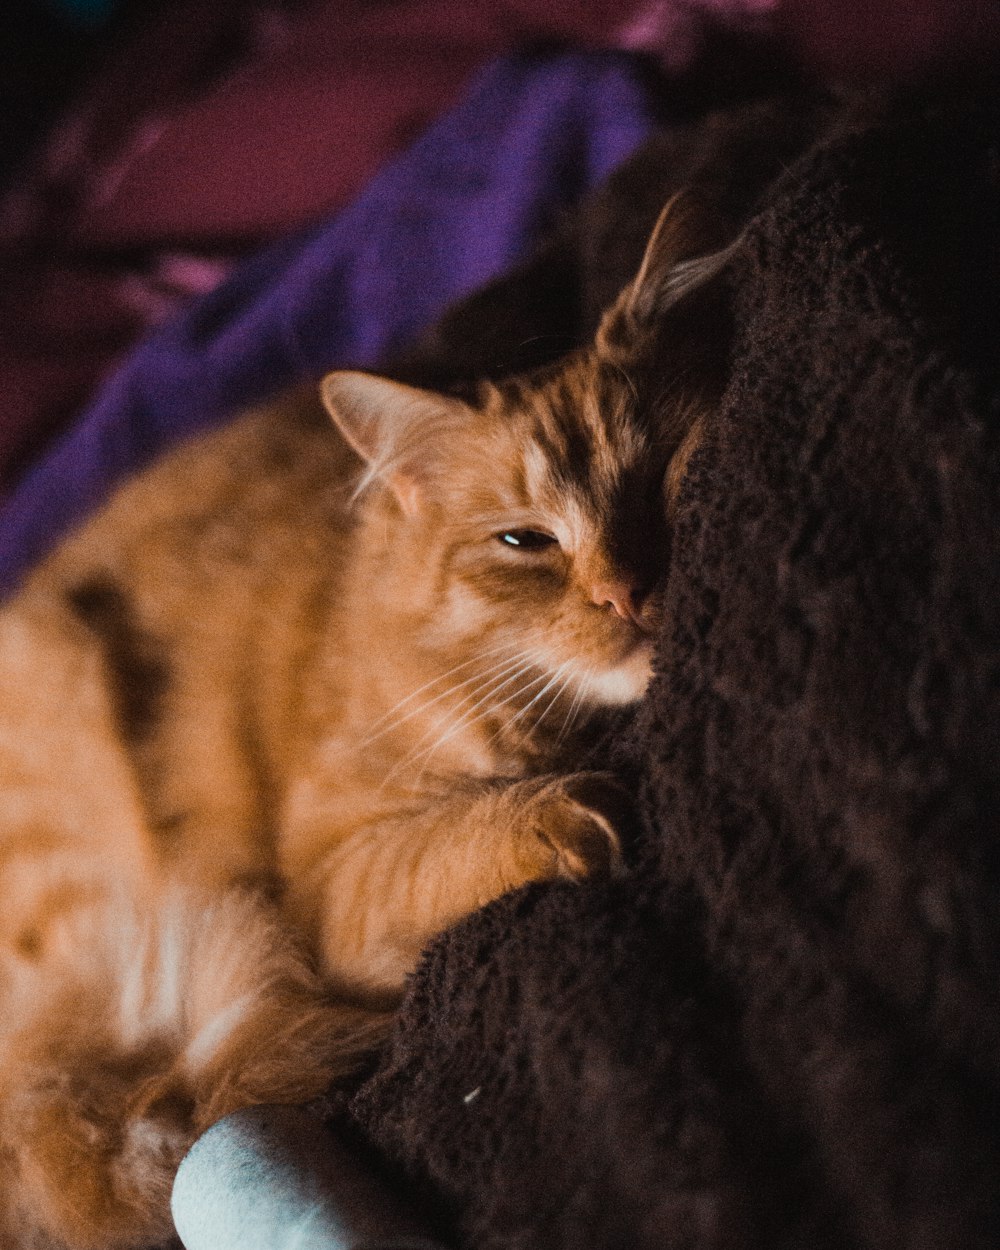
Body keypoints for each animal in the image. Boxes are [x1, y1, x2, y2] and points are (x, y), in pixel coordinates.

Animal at [0, 195, 730, 1250]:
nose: (625, 597)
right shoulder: (329, 884)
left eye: (657, 480)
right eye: (525, 542)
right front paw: (569, 815)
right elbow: (460, 843)